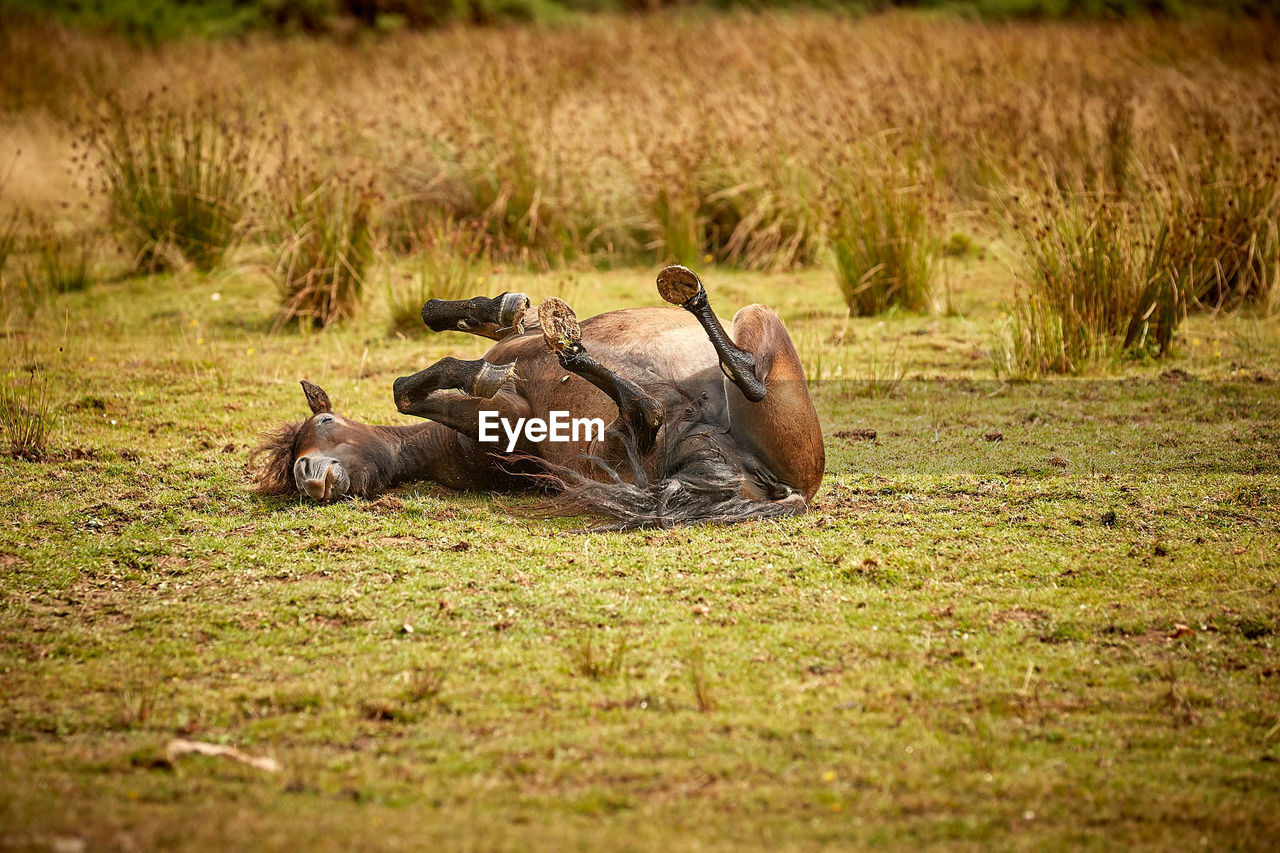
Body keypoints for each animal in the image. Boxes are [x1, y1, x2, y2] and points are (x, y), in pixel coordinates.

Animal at [254, 263, 824, 525]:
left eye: (325, 423)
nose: (307, 475)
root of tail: (793, 488)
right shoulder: (514, 418)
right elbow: (417, 388)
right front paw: (493, 367)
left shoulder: (511, 370)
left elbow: (476, 320)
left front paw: (503, 313)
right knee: (666, 403)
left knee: (718, 379)